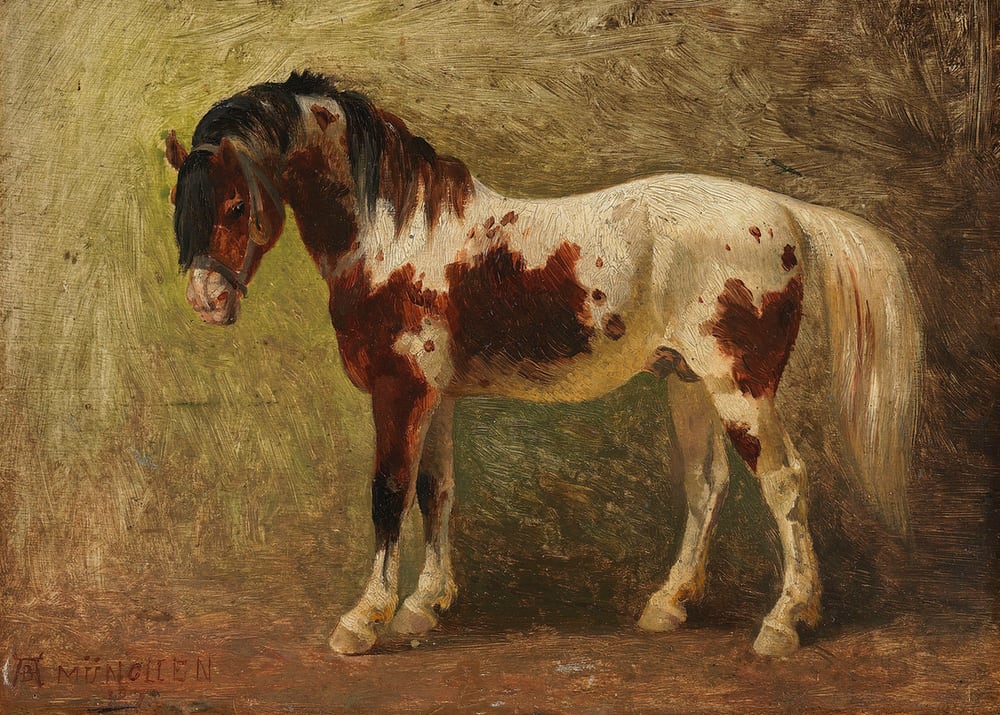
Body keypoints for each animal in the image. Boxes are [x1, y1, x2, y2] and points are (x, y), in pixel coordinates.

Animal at [165, 70, 921, 657]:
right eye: (181, 206)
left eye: (236, 204)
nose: (206, 301)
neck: (394, 234)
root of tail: (786, 212)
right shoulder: (437, 395)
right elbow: (436, 492)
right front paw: (424, 606)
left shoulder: (399, 390)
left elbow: (388, 494)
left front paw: (364, 619)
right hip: (689, 382)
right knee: (707, 485)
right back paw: (669, 603)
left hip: (740, 386)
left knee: (784, 483)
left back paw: (785, 621)